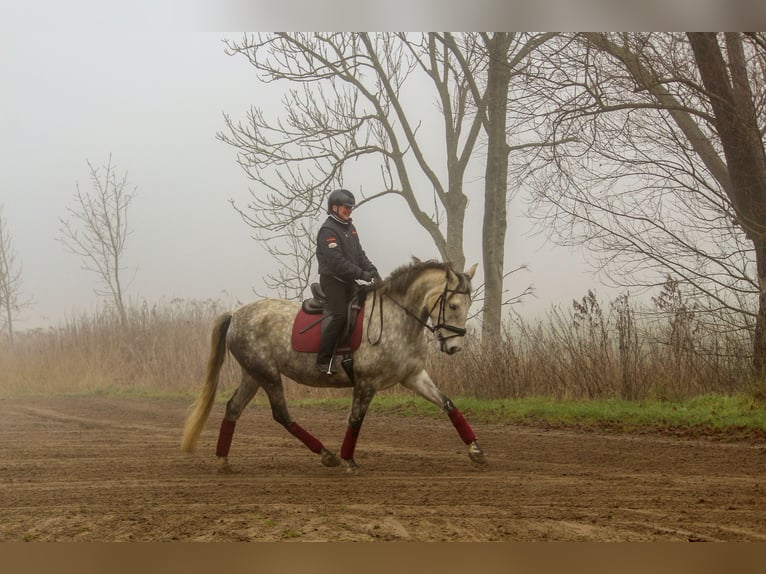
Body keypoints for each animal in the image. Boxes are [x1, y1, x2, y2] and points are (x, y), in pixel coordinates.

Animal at [182, 260, 486, 472]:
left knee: (234, 408)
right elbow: (355, 420)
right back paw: (327, 455)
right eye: (454, 305)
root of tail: (235, 314)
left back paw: (223, 460)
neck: (398, 319)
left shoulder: (413, 376)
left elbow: (448, 403)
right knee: (281, 414)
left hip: (252, 374)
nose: (454, 347)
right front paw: (348, 460)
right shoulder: (366, 382)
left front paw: (476, 450)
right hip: (267, 374)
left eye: (469, 303)